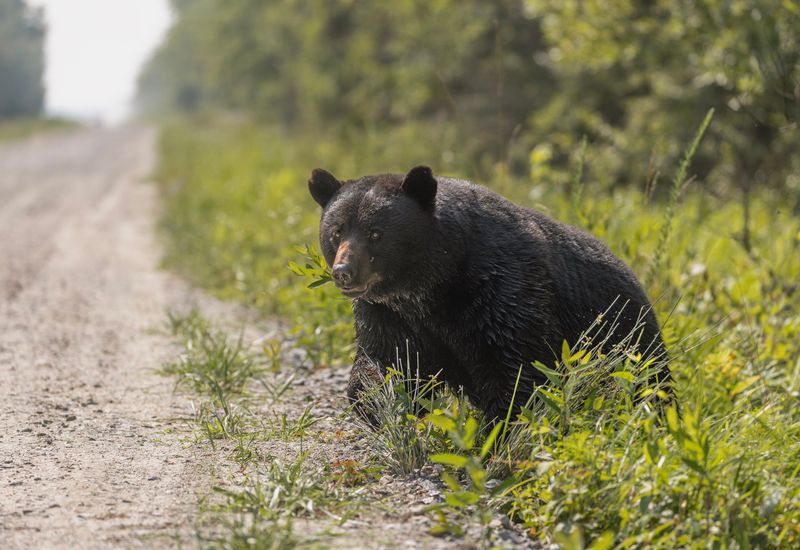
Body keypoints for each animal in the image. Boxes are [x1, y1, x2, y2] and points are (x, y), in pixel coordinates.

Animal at [308, 166, 668, 420]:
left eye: (376, 233)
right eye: (337, 231)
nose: (344, 272)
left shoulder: (501, 289)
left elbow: (518, 364)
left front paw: (500, 429)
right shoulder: (389, 313)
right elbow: (390, 359)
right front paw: (378, 402)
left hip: (623, 333)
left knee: (647, 383)